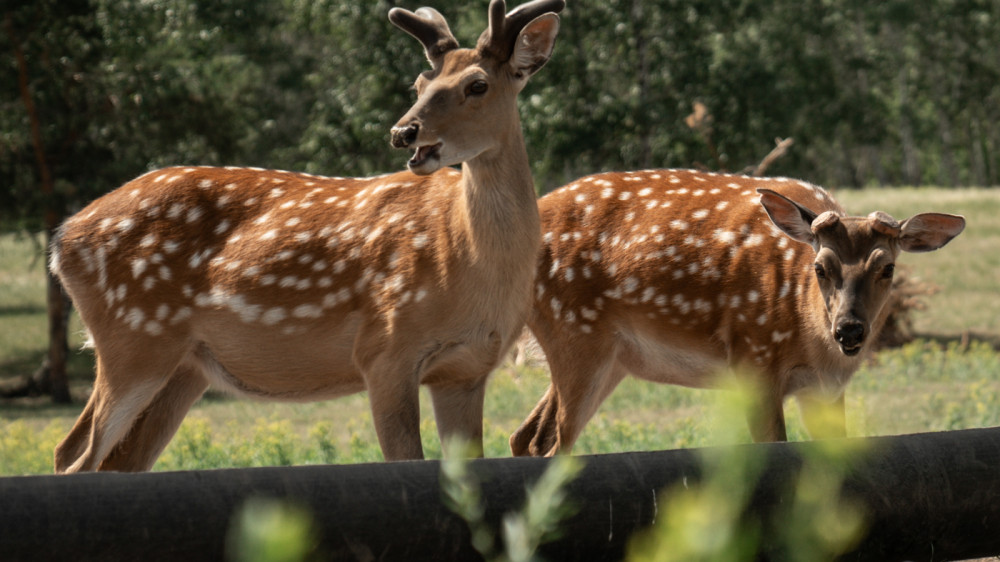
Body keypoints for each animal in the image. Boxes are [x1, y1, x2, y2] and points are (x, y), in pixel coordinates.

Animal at [50, 0, 568, 470]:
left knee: (114, 459)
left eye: (477, 85)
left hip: (182, 368)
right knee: (73, 456)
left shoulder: (465, 370)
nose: (404, 132)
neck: (464, 257)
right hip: (133, 339)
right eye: (419, 84)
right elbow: (407, 462)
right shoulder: (384, 349)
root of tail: (63, 238)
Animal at [512, 168, 964, 452]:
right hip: (577, 332)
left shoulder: (826, 387)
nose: (849, 330)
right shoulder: (753, 357)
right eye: (820, 267)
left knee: (524, 437)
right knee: (547, 442)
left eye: (887, 268)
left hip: (611, 357)